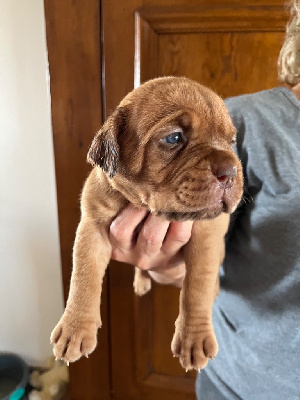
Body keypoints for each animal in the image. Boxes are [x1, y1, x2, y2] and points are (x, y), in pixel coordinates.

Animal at [51, 76, 244, 370]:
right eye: (174, 137)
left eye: (231, 141)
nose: (231, 171)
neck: (147, 207)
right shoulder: (91, 228)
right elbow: (83, 276)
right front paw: (74, 328)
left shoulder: (207, 236)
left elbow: (197, 287)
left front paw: (194, 338)